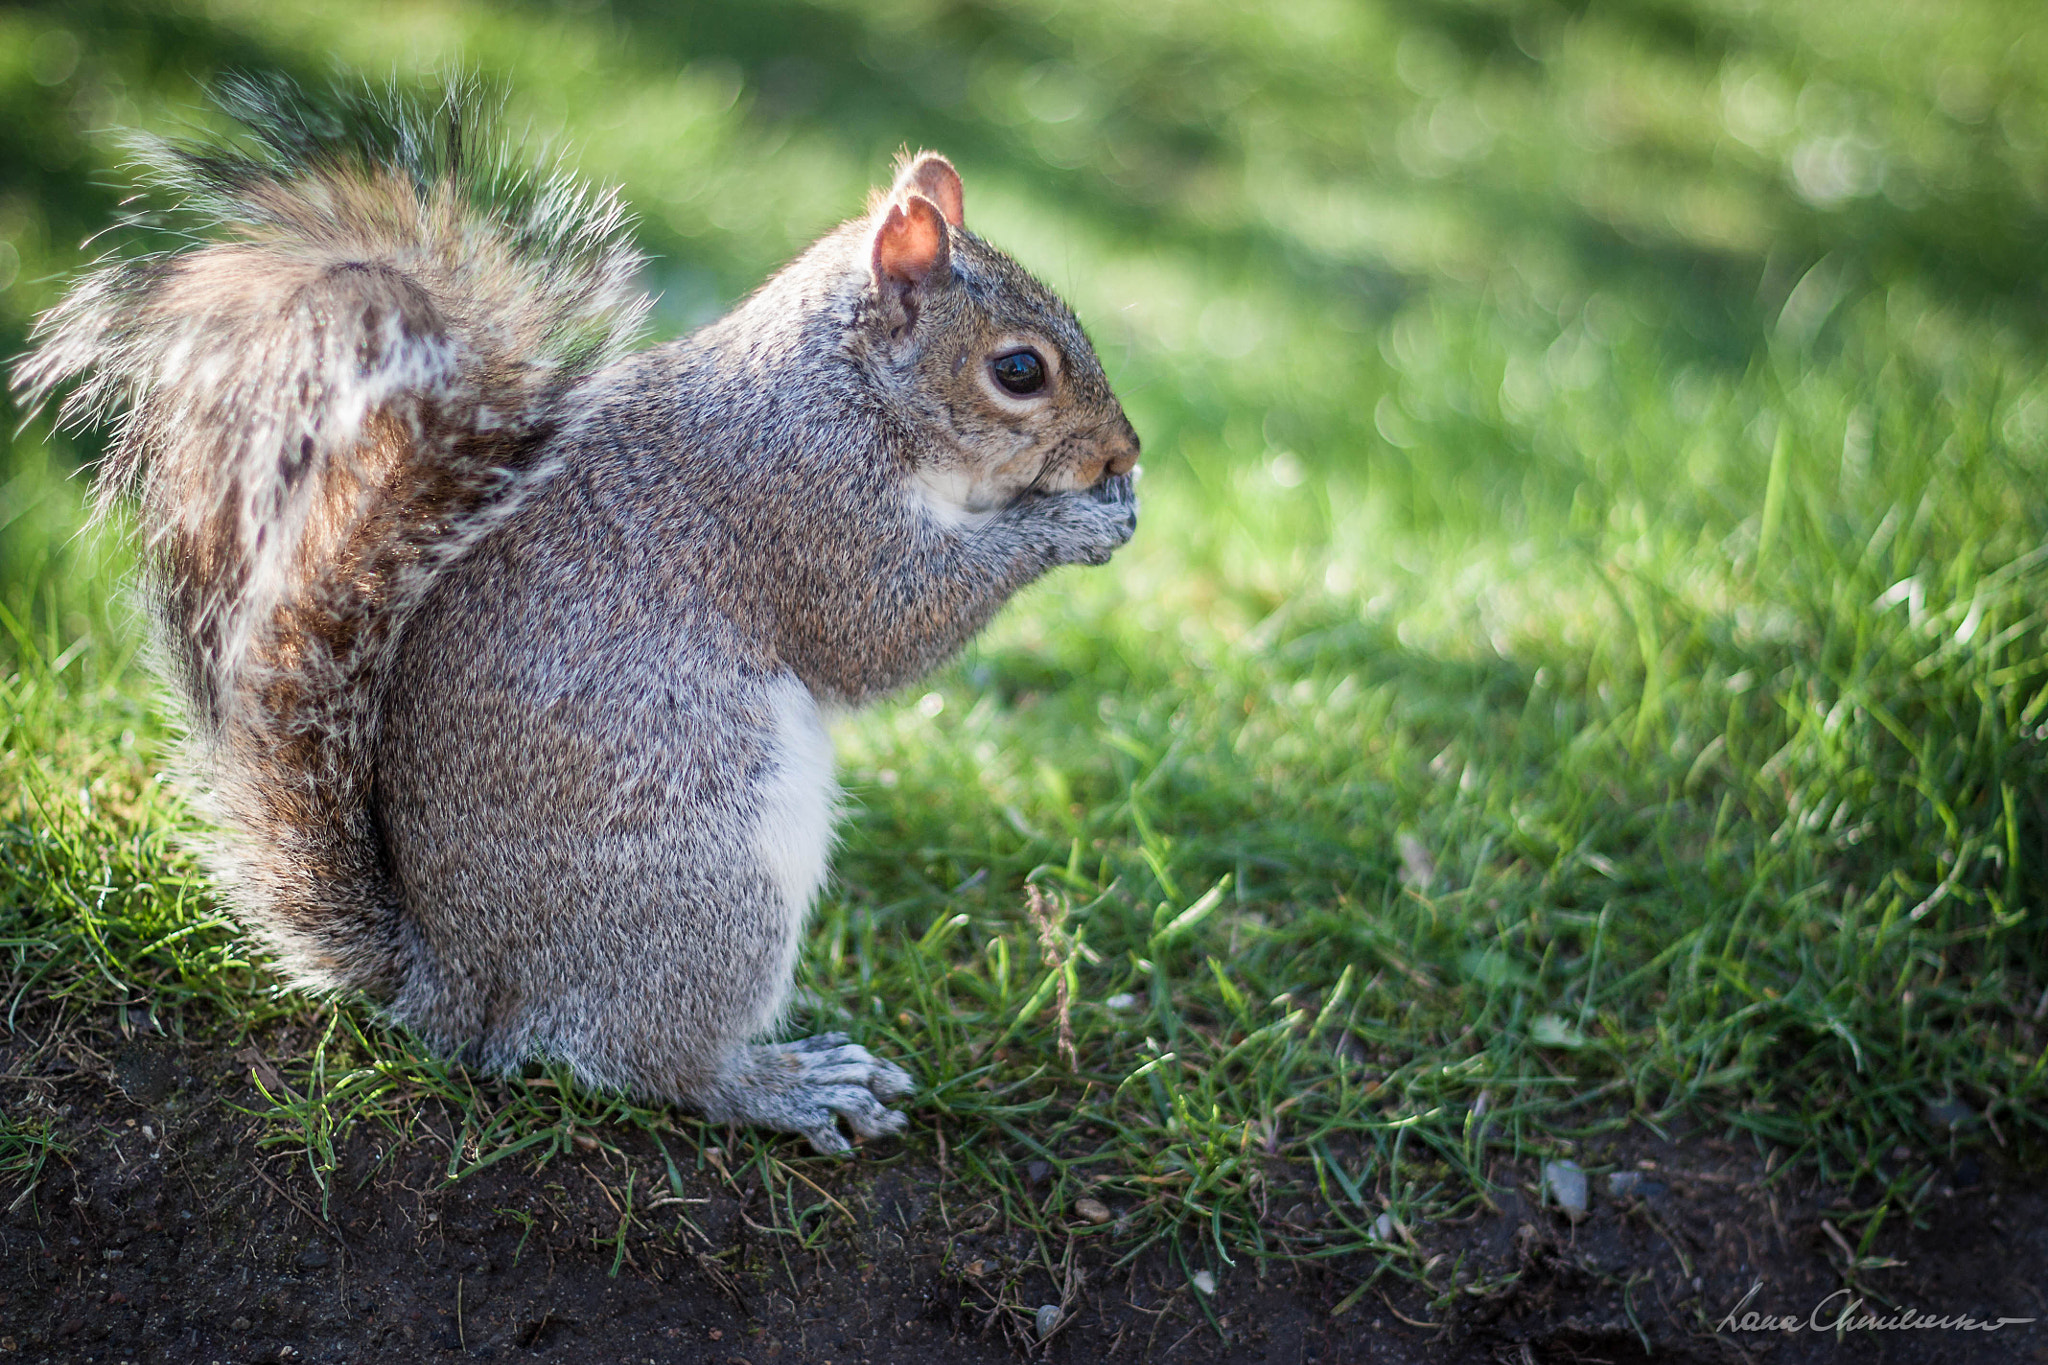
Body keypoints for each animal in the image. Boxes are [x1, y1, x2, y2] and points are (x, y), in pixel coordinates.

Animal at [19, 82, 1138, 1154]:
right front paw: (1075, 524)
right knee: (642, 1061)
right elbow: (882, 628)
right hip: (709, 886)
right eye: (1020, 371)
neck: (846, 392)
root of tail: (461, 991)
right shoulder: (803, 507)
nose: (1123, 451)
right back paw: (780, 1085)